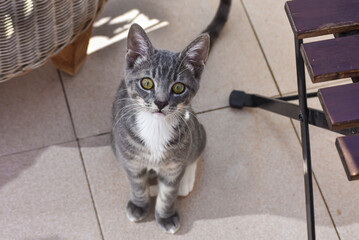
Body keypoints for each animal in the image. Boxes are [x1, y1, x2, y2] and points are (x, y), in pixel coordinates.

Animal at [111, 0, 232, 232]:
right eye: (147, 83)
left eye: (178, 87)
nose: (160, 102)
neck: (155, 127)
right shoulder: (131, 158)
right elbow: (136, 182)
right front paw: (139, 204)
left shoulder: (175, 163)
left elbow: (168, 192)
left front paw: (166, 215)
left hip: (196, 130)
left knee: (197, 149)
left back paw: (186, 181)